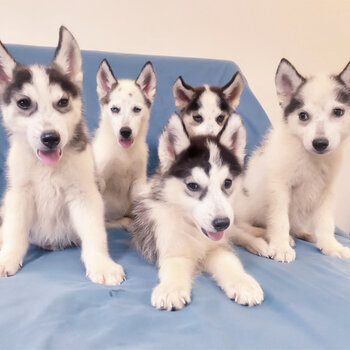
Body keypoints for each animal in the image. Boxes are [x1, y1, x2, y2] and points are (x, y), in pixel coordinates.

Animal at [0, 26, 125, 284]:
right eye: (24, 103)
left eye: (63, 101)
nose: (50, 138)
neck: (47, 168)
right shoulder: (18, 194)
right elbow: (14, 230)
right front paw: (7, 257)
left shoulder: (85, 194)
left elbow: (95, 233)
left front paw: (101, 264)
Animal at [93, 59, 157, 227]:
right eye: (115, 109)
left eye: (137, 109)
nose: (125, 131)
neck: (124, 154)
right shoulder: (100, 180)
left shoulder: (138, 181)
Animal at [131, 113, 262, 310]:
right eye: (193, 185)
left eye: (227, 183)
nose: (221, 223)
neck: (192, 229)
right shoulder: (171, 246)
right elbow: (174, 265)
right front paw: (171, 289)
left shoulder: (218, 246)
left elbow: (230, 261)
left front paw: (243, 283)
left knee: (239, 231)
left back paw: (261, 243)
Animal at [235, 58, 350, 262]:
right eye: (303, 116)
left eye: (337, 112)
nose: (320, 143)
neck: (311, 159)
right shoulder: (279, 187)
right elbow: (280, 220)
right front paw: (281, 246)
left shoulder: (326, 191)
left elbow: (326, 222)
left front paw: (330, 245)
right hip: (246, 206)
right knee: (242, 224)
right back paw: (268, 234)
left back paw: (302, 233)